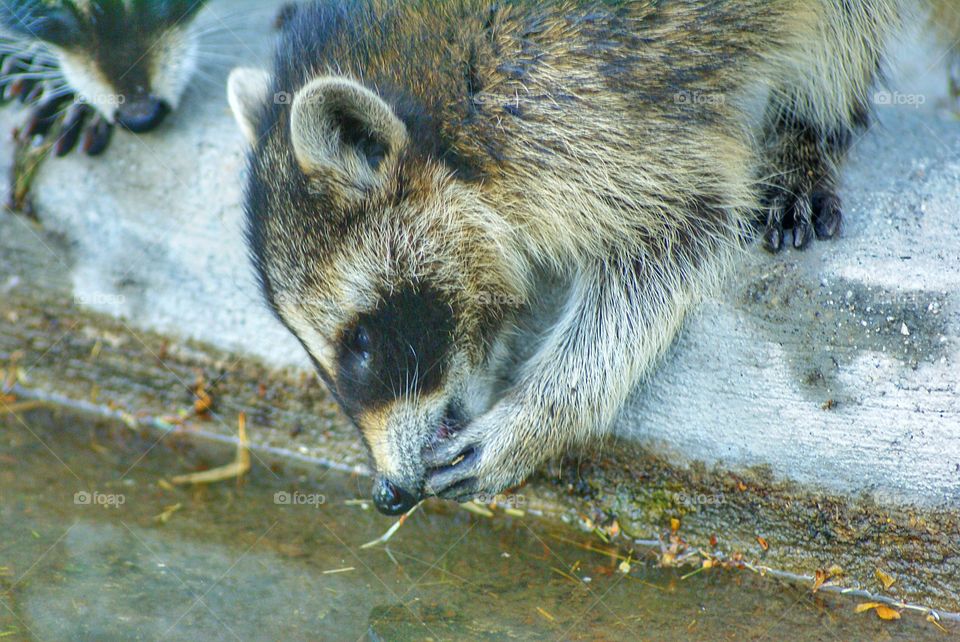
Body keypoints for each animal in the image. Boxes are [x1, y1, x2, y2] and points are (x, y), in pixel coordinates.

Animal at [228, 0, 950, 515]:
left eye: (362, 341)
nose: (387, 495)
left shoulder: (574, 107)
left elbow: (675, 234)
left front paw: (541, 415)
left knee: (841, 29)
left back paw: (807, 125)